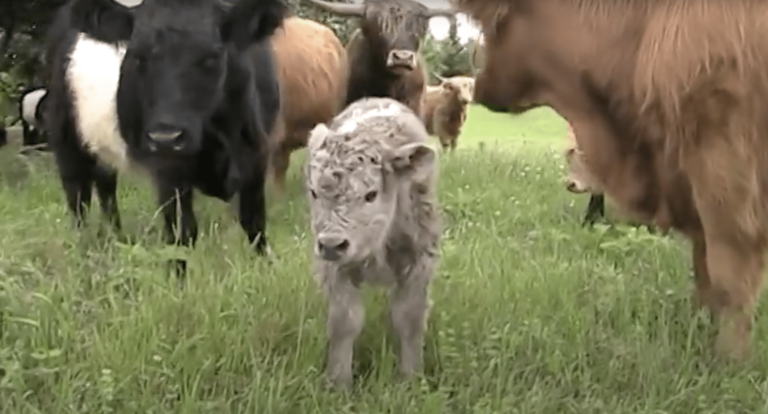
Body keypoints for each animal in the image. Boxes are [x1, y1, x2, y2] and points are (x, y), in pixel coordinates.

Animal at [44, 0, 287, 278]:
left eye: (212, 56)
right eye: (137, 57)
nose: (165, 138)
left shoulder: (256, 155)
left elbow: (255, 224)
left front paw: (267, 271)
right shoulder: (169, 171)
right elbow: (181, 235)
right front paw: (179, 284)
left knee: (106, 189)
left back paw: (116, 240)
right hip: (66, 142)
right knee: (79, 202)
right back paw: (86, 256)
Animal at [305, 97, 440, 390]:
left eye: (371, 194)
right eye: (314, 192)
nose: (331, 244)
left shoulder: (419, 261)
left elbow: (409, 319)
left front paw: (411, 379)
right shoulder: (336, 268)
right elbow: (345, 322)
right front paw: (338, 383)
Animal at [451, 0, 768, 360]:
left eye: (496, 22)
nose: (478, 86)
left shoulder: (724, 173)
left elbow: (728, 278)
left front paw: (728, 360)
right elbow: (703, 273)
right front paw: (696, 332)